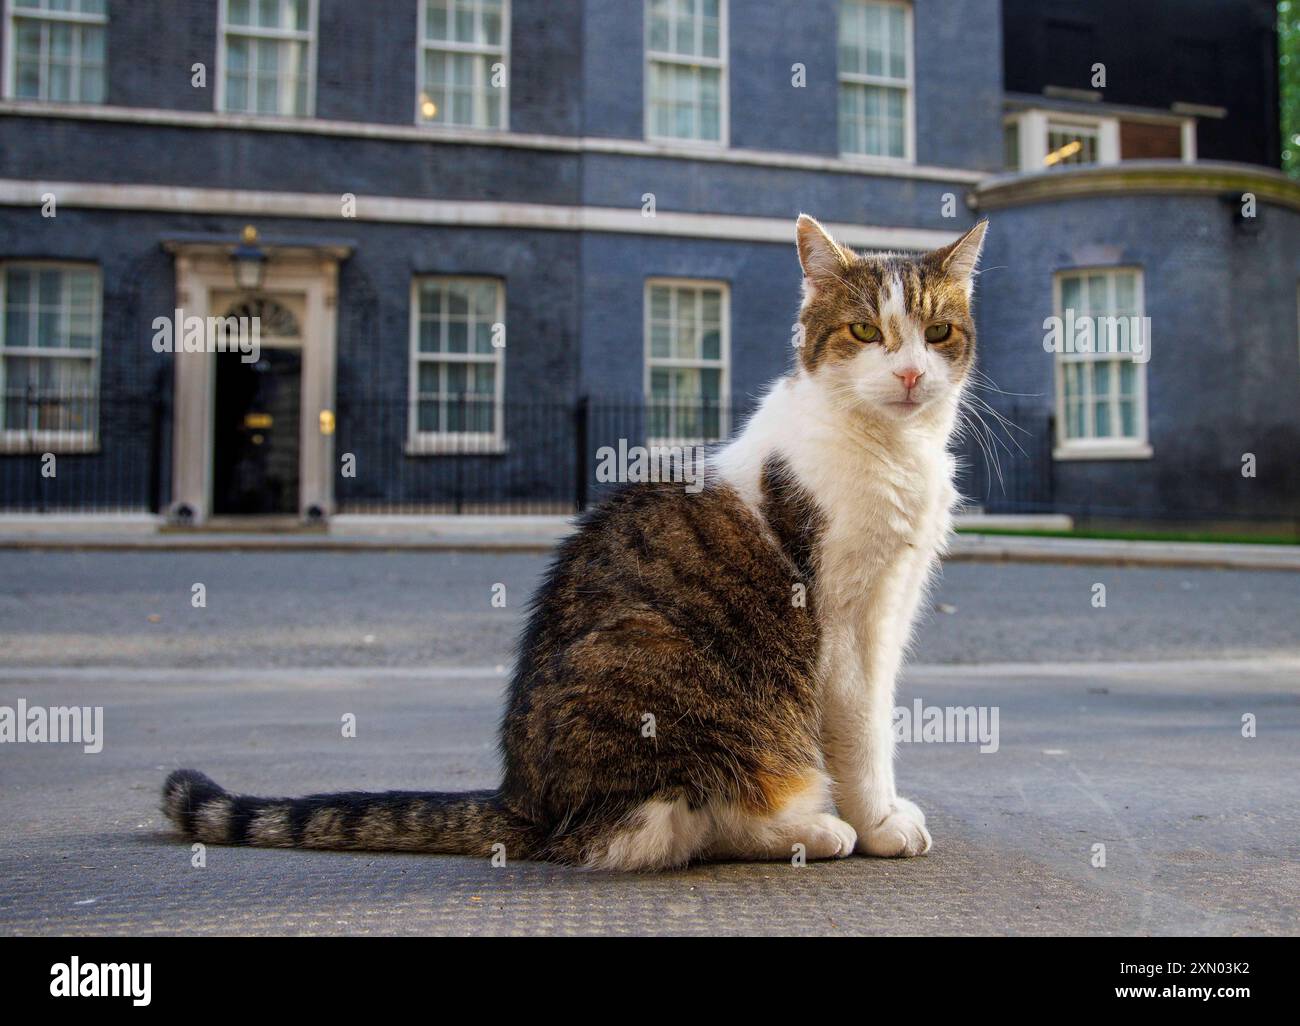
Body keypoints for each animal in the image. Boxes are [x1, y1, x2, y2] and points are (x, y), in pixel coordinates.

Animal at [167, 214, 987, 863]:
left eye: (937, 333)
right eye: (865, 331)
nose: (910, 374)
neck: (893, 450)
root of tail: (524, 798)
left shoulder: (894, 604)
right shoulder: (845, 620)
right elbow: (861, 731)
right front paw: (878, 822)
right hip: (665, 676)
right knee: (675, 821)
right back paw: (811, 830)